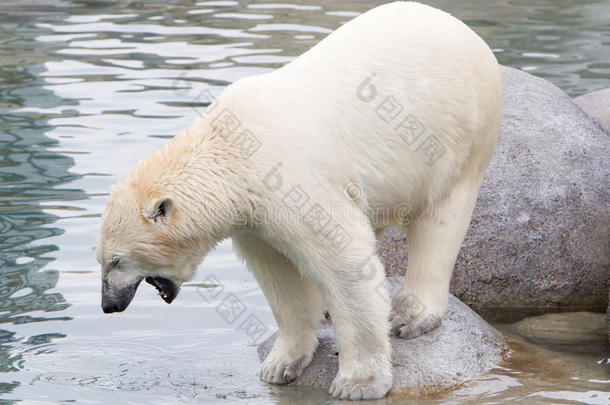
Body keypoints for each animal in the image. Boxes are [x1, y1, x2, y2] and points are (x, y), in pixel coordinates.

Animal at [97, 2, 502, 400]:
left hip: (457, 136)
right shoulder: (254, 218)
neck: (230, 153)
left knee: (440, 220)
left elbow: (344, 259)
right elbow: (279, 273)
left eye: (117, 261)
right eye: (101, 259)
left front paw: (358, 382)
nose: (108, 305)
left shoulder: (291, 181)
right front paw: (281, 364)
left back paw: (409, 313)